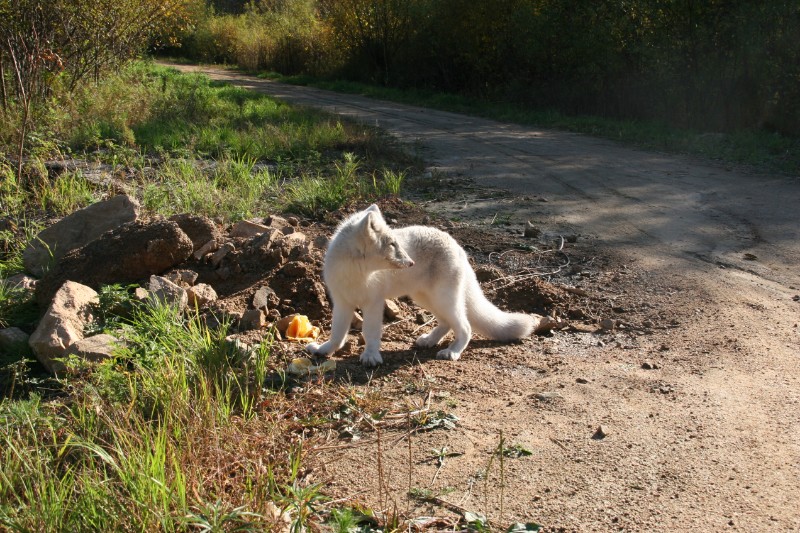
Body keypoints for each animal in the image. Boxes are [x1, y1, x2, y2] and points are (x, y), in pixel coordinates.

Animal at [304, 205, 544, 366]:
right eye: (392, 245)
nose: (411, 263)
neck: (357, 273)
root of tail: (459, 247)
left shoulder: (373, 303)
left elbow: (370, 332)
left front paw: (371, 356)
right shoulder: (342, 303)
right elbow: (337, 333)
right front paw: (324, 350)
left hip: (444, 299)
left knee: (465, 327)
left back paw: (452, 352)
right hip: (425, 298)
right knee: (446, 323)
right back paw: (429, 340)